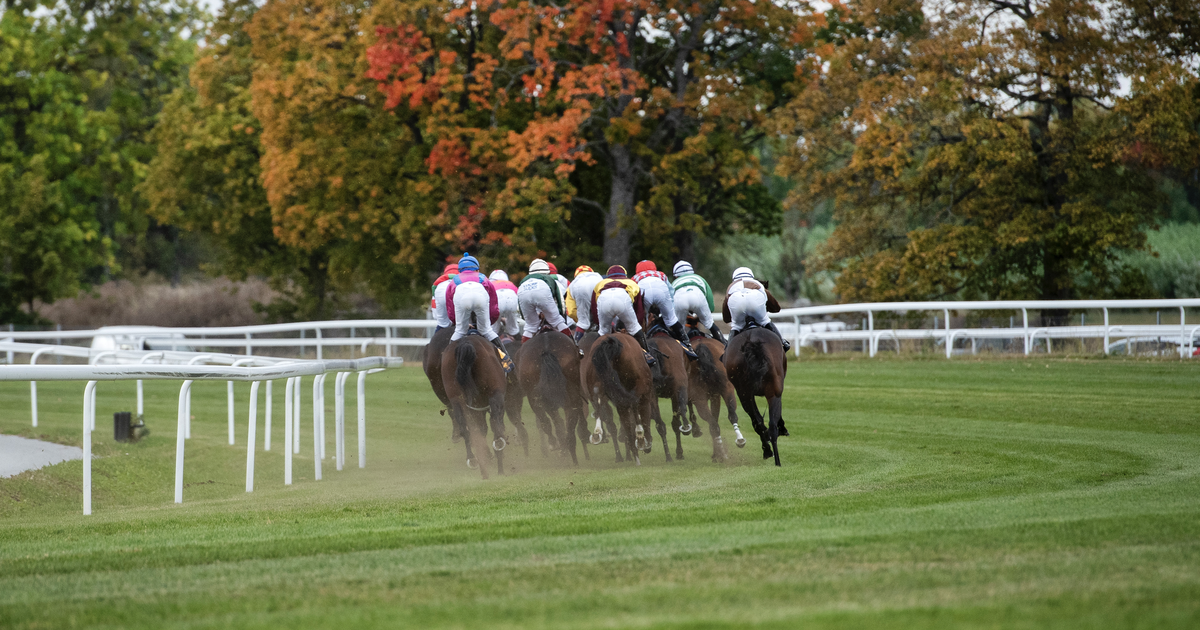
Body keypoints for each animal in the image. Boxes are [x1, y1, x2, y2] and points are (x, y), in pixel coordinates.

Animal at [444, 333, 513, 477]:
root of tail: (466, 343)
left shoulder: (475, 407)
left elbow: (479, 430)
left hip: (457, 399)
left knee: (465, 428)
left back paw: (473, 460)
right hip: (495, 394)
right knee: (495, 423)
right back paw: (499, 451)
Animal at [516, 326, 590, 463]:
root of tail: (546, 350)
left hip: (533, 395)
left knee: (546, 420)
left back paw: (560, 445)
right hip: (568, 388)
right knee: (571, 413)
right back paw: (569, 449)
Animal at [580, 331, 657, 463]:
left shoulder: (619, 401)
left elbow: (625, 422)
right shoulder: (644, 394)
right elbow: (640, 413)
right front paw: (643, 442)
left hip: (596, 382)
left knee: (598, 398)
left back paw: (597, 433)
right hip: (637, 386)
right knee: (634, 404)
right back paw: (640, 438)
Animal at [720, 326, 787, 463]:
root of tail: (751, 342)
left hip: (744, 394)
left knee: (759, 422)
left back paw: (770, 452)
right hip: (770, 392)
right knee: (771, 424)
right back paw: (774, 457)